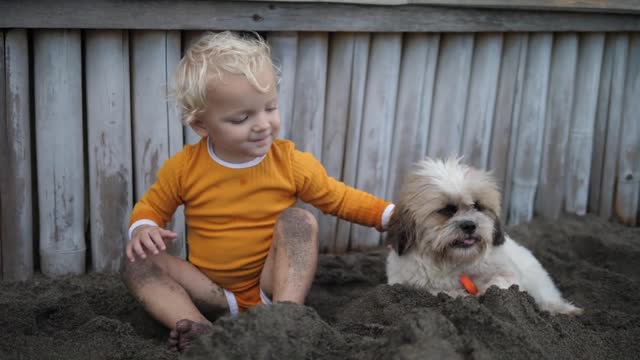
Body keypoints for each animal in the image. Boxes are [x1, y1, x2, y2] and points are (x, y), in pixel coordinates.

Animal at [388, 158, 584, 316]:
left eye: (477, 206)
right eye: (447, 210)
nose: (469, 225)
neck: (453, 261)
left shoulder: (508, 272)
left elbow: (502, 282)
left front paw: (487, 291)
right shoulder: (409, 284)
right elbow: (438, 292)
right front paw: (460, 295)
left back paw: (563, 309)